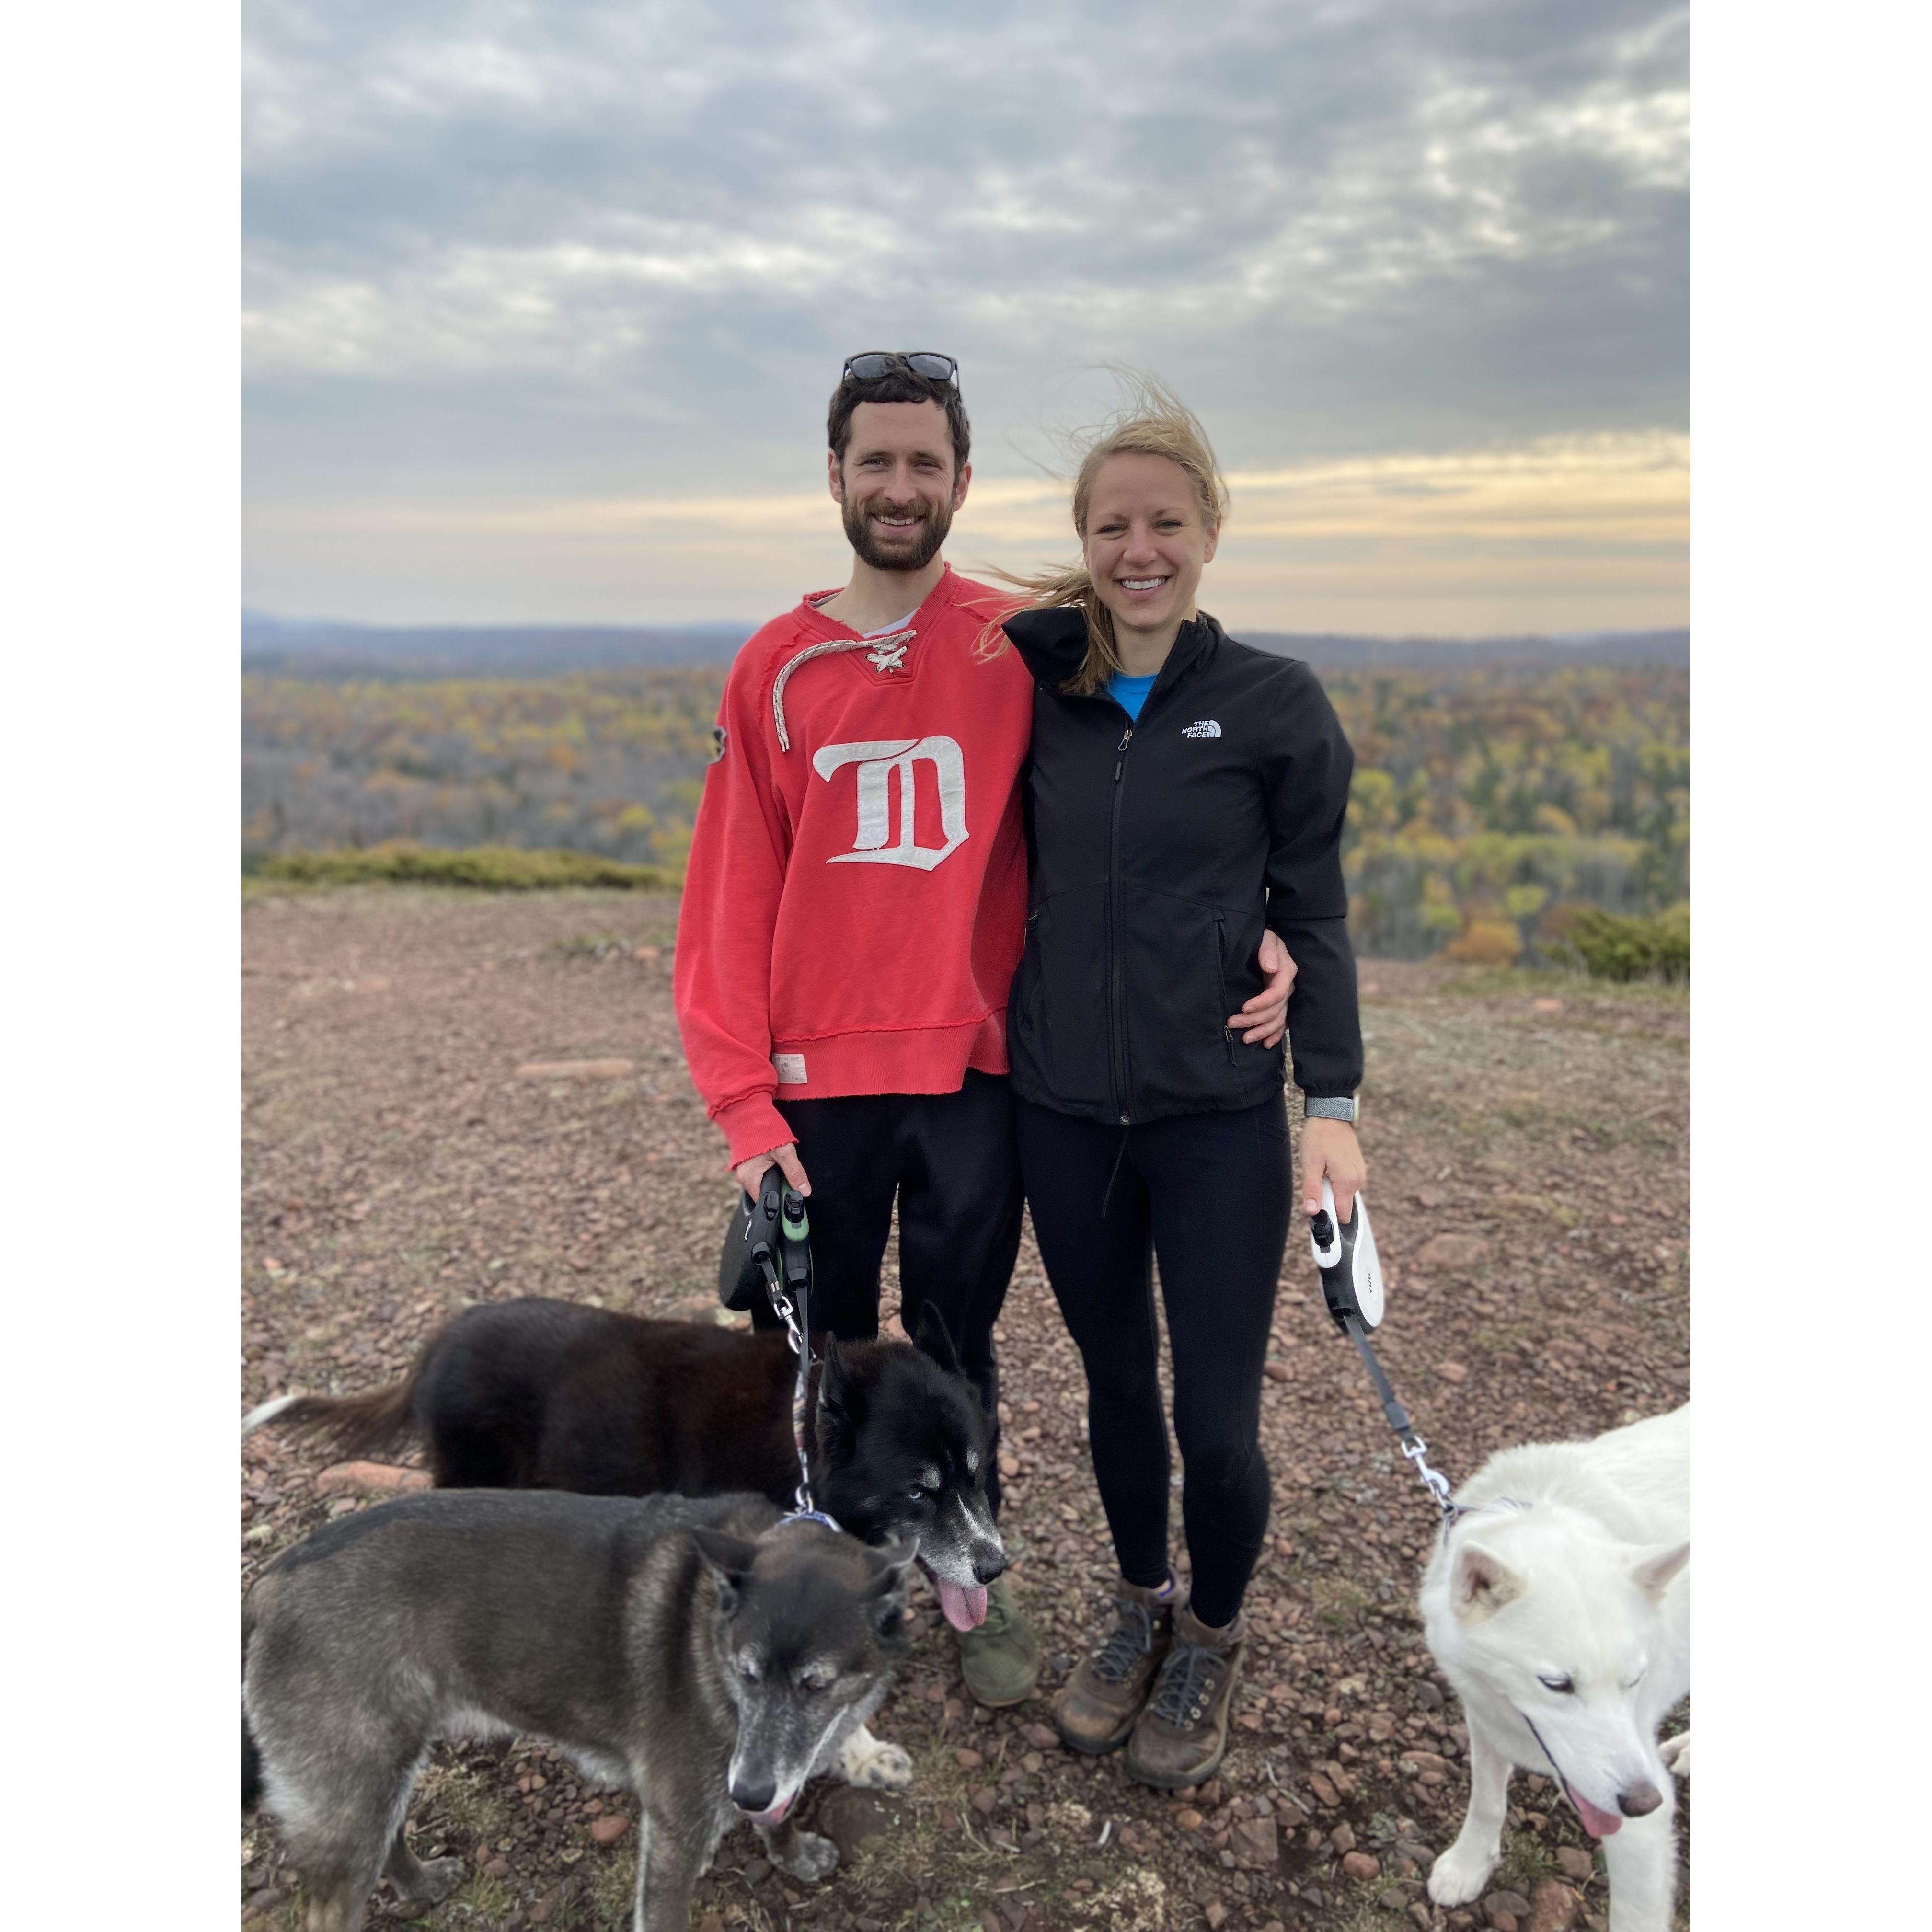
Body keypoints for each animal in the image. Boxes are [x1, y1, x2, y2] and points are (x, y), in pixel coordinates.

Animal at [242, 1491, 912, 1932]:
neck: (710, 1635)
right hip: (351, 1787)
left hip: (378, 1769)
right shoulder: (679, 1827)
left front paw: (791, 1855)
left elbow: (780, 1811)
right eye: (746, 1674)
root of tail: (270, 1583)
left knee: (390, 1830)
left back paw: (420, 1883)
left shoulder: (766, 1770)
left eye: (815, 1686)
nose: (744, 1794)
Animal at [1422, 1406, 1692, 1932]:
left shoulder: (1643, 1831)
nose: (1642, 1802)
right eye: (1557, 1685)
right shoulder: (1487, 1719)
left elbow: (1635, 1915)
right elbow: (1487, 1803)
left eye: (1634, 1681)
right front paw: (1468, 1867)